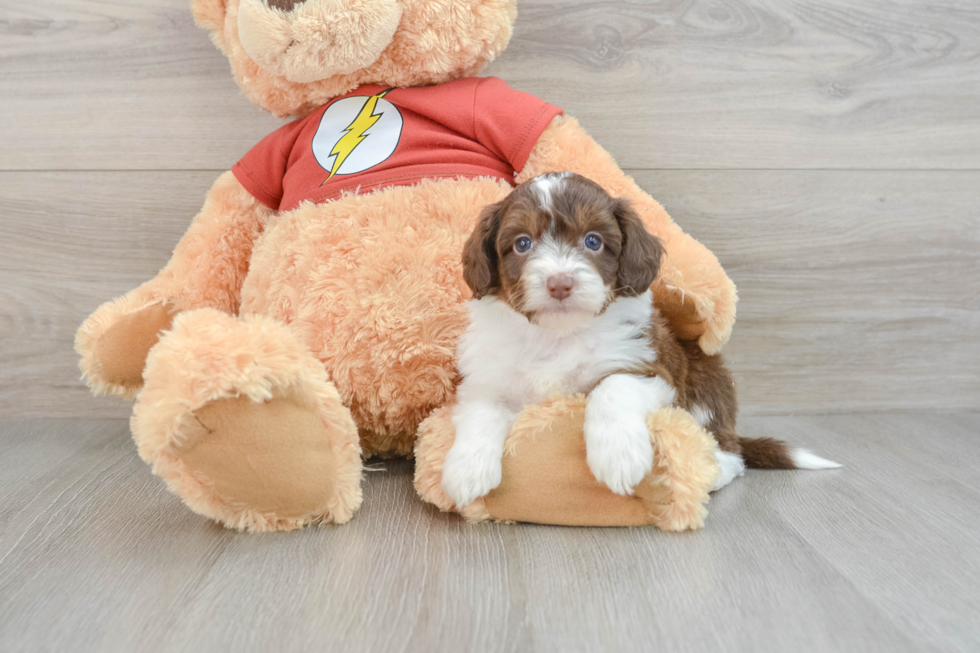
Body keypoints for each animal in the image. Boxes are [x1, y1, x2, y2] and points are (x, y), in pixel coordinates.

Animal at [440, 173, 840, 510]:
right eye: (522, 244)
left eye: (593, 241)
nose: (560, 284)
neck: (558, 334)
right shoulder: (487, 378)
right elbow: (481, 411)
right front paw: (466, 470)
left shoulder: (648, 367)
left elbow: (613, 388)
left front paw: (619, 455)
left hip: (707, 385)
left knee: (730, 453)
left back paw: (711, 473)